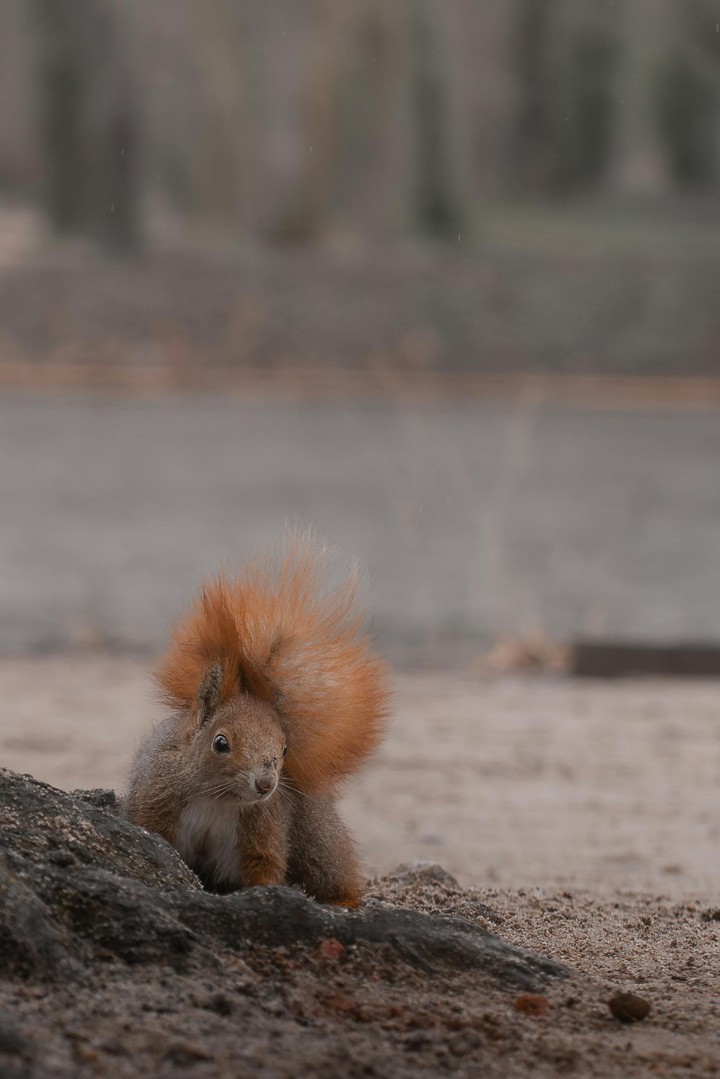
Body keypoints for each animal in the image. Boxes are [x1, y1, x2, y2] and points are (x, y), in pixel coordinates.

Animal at [123, 538, 390, 907]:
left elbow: (264, 867)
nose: (265, 784)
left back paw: (342, 901)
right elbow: (156, 836)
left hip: (317, 835)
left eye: (285, 748)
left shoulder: (262, 827)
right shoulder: (157, 799)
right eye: (221, 742)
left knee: (333, 873)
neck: (220, 797)